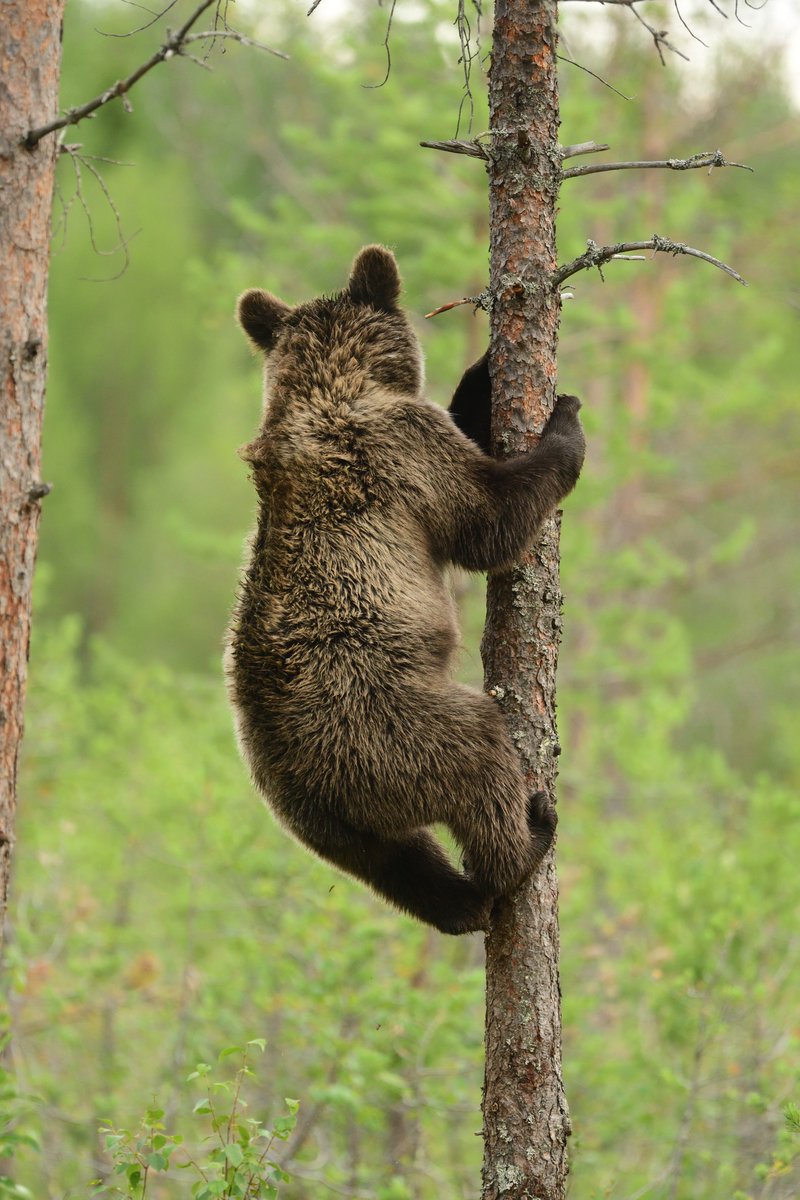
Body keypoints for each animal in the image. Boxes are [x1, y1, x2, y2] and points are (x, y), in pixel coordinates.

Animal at [221, 246, 585, 936]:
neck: (330, 385)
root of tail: (301, 770)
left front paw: (486, 366)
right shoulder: (400, 450)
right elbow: (487, 519)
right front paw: (565, 423)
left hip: (320, 822)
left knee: (399, 863)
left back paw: (462, 903)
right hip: (387, 725)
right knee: (477, 759)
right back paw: (527, 840)